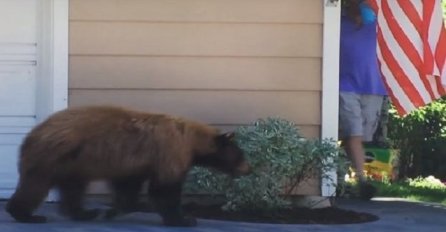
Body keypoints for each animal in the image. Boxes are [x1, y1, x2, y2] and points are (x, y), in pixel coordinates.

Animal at [6, 105, 251, 227]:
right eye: (241, 154)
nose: (248, 169)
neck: (191, 140)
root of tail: (31, 134)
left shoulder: (134, 164)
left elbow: (128, 186)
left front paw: (113, 210)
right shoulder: (170, 152)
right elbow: (165, 188)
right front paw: (184, 219)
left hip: (72, 163)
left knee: (73, 189)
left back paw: (86, 213)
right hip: (52, 156)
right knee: (35, 185)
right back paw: (26, 215)